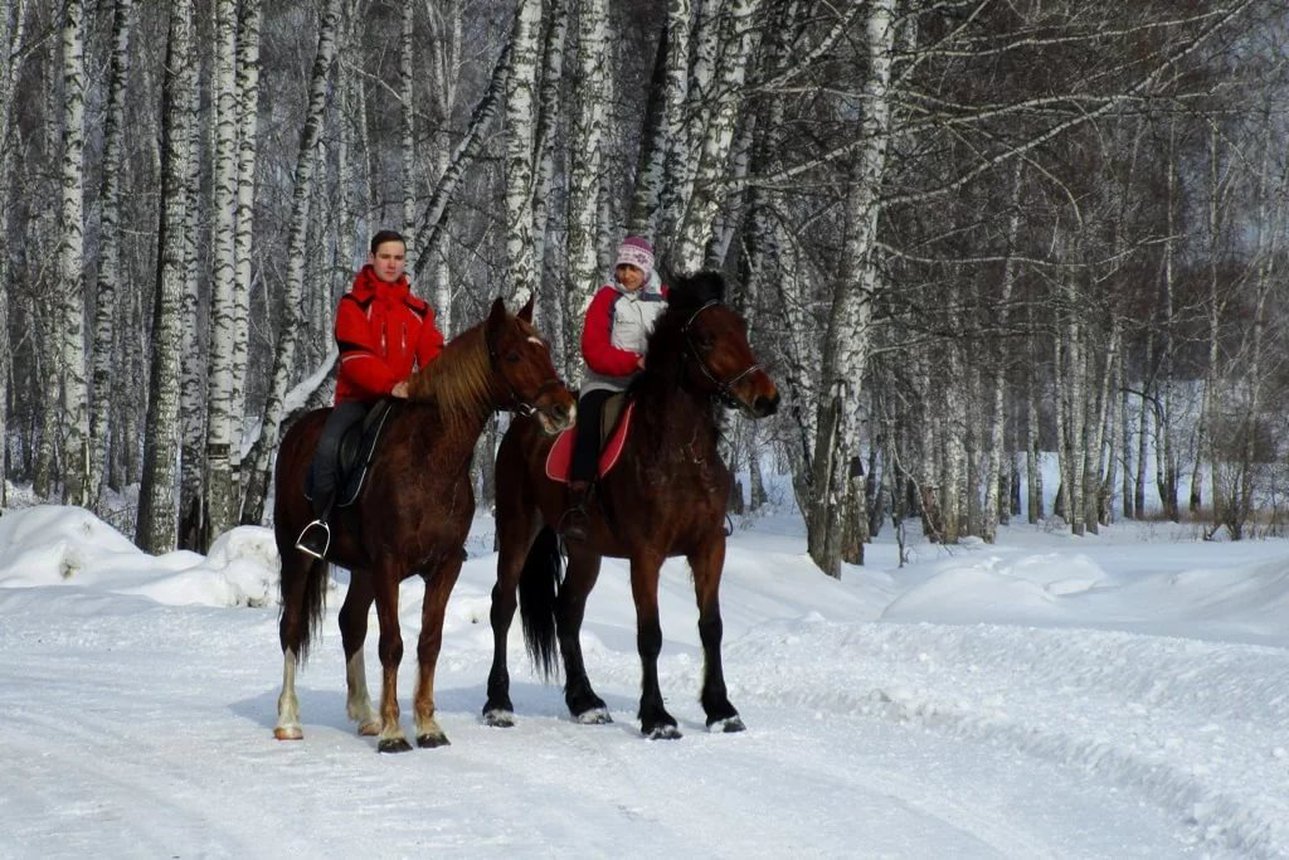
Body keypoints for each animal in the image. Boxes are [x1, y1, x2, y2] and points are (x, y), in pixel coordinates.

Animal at [271, 297, 574, 752]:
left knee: (351, 624)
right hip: (298, 554)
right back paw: (290, 720)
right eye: (515, 355)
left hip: (361, 570)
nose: (563, 408)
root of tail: (295, 435)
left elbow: (428, 643)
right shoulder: (388, 565)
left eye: (548, 349)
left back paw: (365, 714)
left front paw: (427, 725)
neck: (430, 460)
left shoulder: (443, 566)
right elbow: (392, 644)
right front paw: (395, 732)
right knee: (291, 627)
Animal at [484, 270, 778, 742]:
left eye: (742, 328)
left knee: (567, 612)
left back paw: (586, 703)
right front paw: (657, 717)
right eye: (707, 338)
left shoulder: (709, 547)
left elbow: (710, 627)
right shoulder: (646, 554)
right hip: (517, 530)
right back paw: (498, 704)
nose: (767, 398)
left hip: (585, 551)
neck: (679, 453)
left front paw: (721, 710)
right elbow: (650, 634)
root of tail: (526, 423)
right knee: (503, 606)